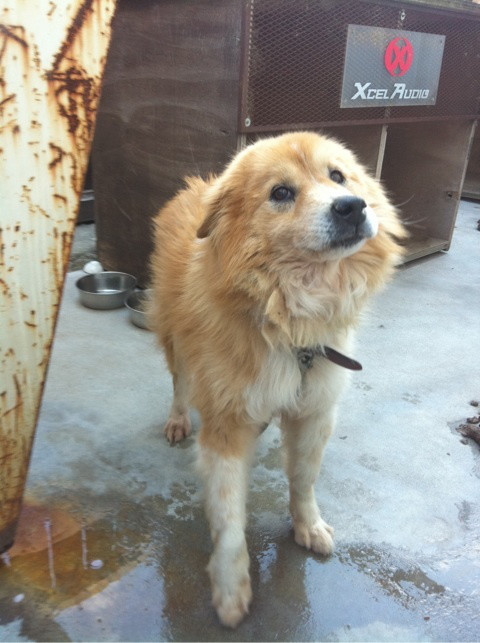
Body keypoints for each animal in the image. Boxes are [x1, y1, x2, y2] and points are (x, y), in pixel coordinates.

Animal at [149, 131, 406, 628]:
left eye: (338, 176)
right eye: (281, 193)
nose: (352, 207)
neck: (288, 320)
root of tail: (198, 185)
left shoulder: (316, 410)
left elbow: (304, 477)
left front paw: (308, 525)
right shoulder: (225, 423)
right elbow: (229, 515)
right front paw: (231, 588)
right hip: (175, 342)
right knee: (179, 384)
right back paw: (176, 420)